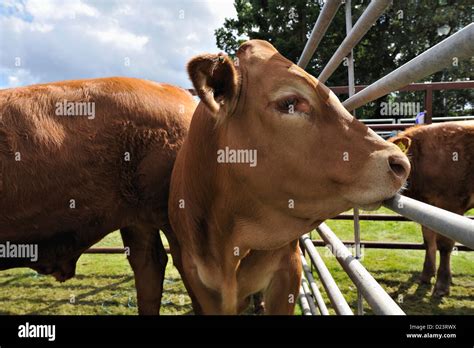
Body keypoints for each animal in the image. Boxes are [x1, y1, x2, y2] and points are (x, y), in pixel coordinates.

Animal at [390, 121, 472, 296]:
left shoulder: (451, 205)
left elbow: (445, 245)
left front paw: (442, 284)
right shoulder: (427, 207)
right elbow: (428, 240)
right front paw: (427, 274)